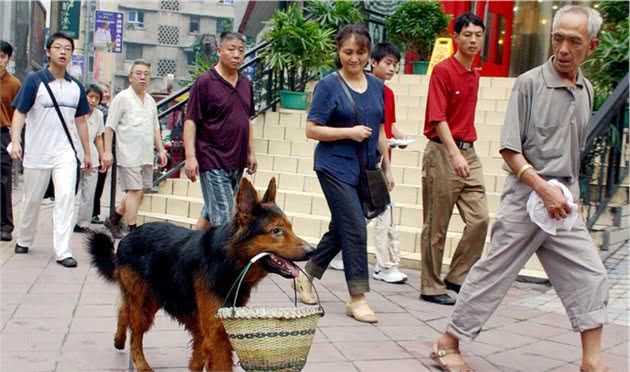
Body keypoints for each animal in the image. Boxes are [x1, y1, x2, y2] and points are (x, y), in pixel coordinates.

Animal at [89, 179, 316, 370]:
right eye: (276, 231)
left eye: (291, 228)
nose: (312, 251)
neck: (228, 261)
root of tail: (129, 235)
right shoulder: (217, 334)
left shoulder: (217, 327)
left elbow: (200, 353)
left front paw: (195, 363)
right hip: (145, 303)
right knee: (135, 335)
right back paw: (141, 364)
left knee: (123, 309)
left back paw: (118, 339)